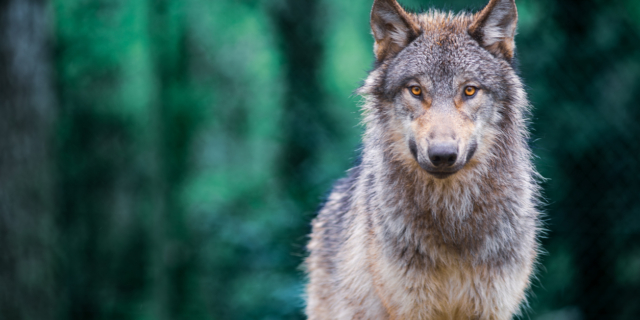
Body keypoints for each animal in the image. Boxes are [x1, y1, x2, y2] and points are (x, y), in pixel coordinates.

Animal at [304, 0, 540, 318]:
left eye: (469, 90)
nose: (442, 155)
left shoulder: (492, 306)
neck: (452, 221)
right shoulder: (410, 307)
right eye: (416, 90)